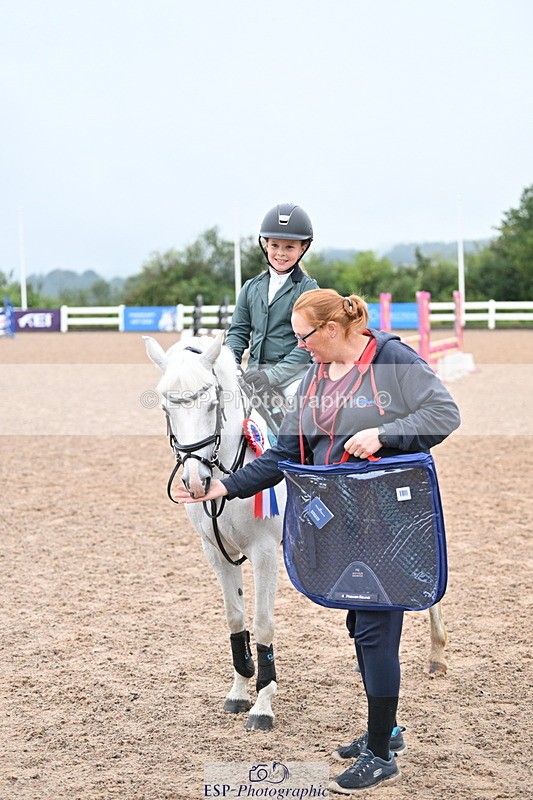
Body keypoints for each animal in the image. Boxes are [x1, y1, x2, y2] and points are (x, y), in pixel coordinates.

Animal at [144, 332, 285, 730]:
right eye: (166, 407)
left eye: (211, 403)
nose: (195, 481)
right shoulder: (216, 551)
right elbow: (235, 617)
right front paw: (239, 690)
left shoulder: (265, 552)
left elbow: (263, 622)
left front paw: (263, 705)